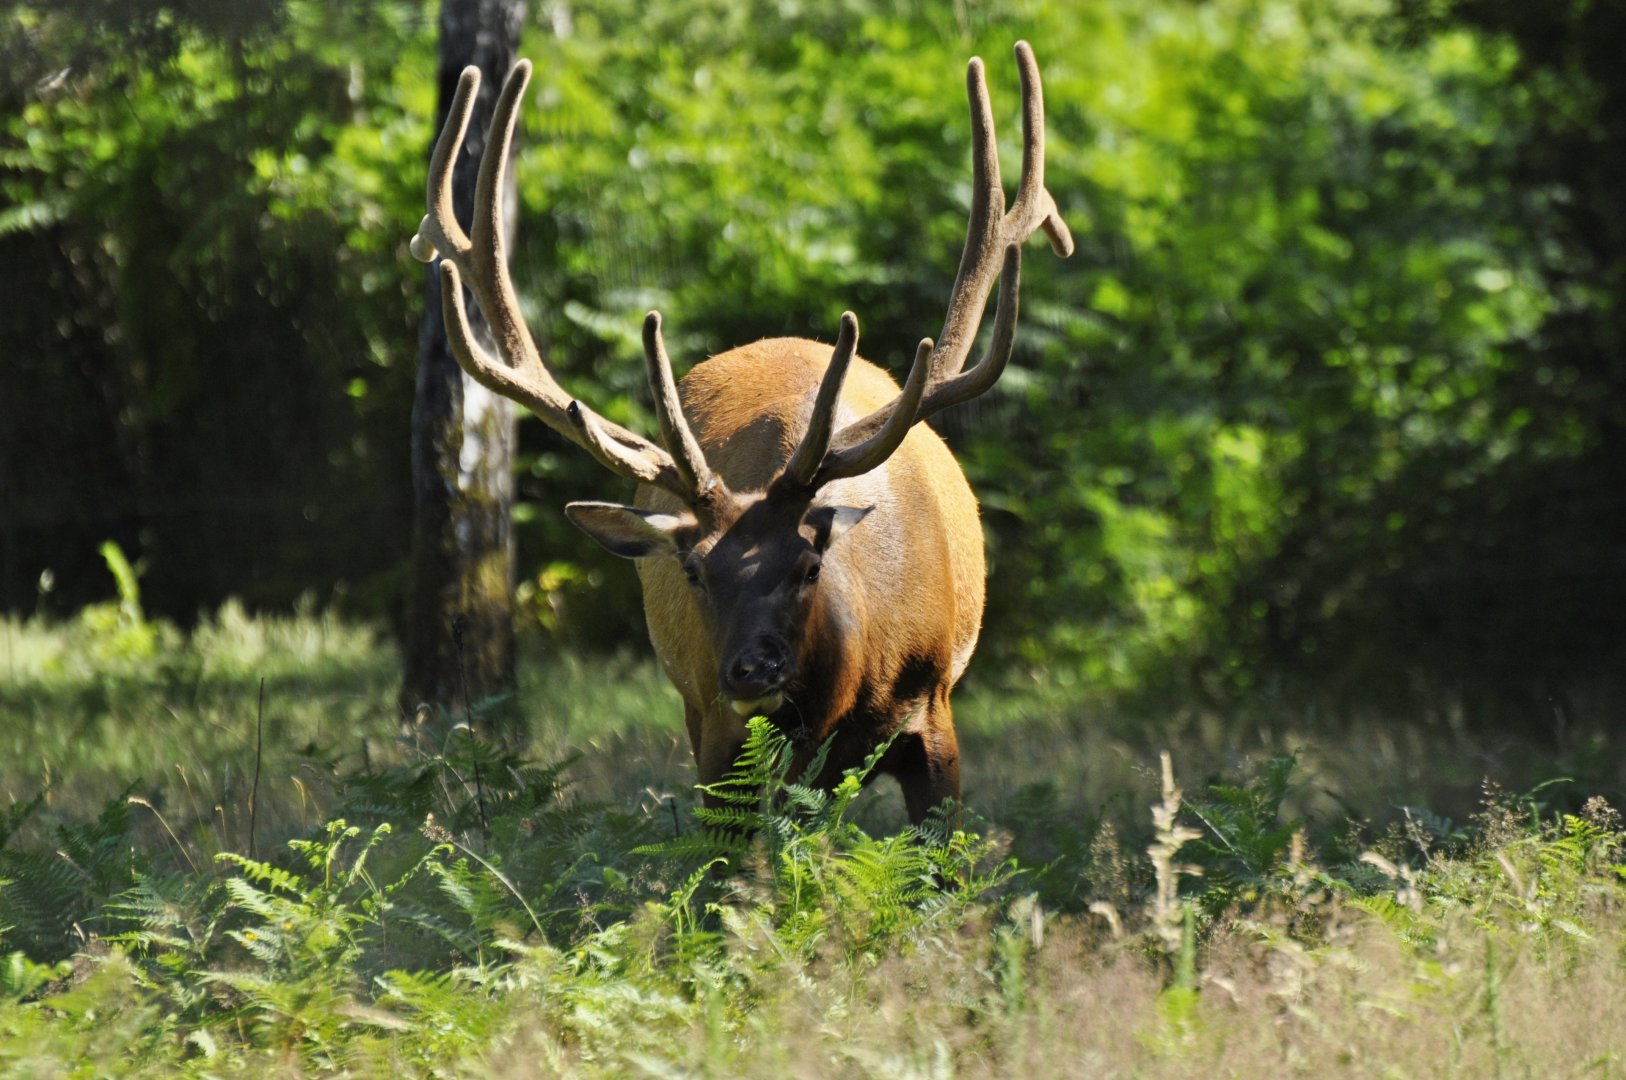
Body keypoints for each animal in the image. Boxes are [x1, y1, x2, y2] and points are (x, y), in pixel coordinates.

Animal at [408, 42, 1072, 824]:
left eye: (809, 565)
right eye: (695, 570)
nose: (753, 667)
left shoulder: (934, 713)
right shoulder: (722, 736)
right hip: (697, 705)